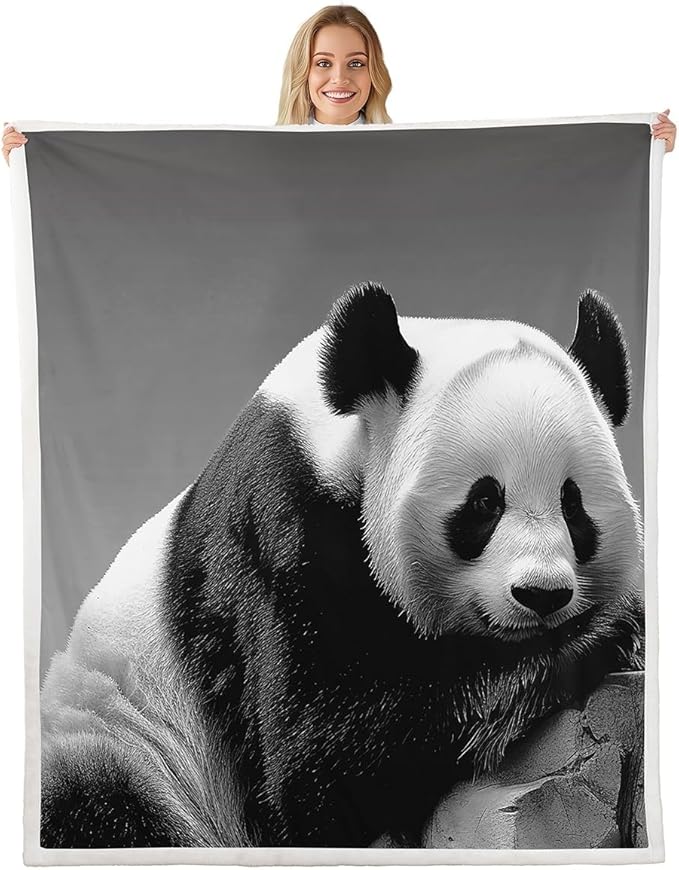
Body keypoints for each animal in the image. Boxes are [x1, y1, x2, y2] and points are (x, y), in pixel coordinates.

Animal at [40, 282, 644, 850]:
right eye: (483, 503)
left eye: (573, 504)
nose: (542, 595)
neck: (341, 436)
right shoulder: (278, 536)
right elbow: (318, 762)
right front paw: (604, 632)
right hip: (126, 738)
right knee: (96, 805)